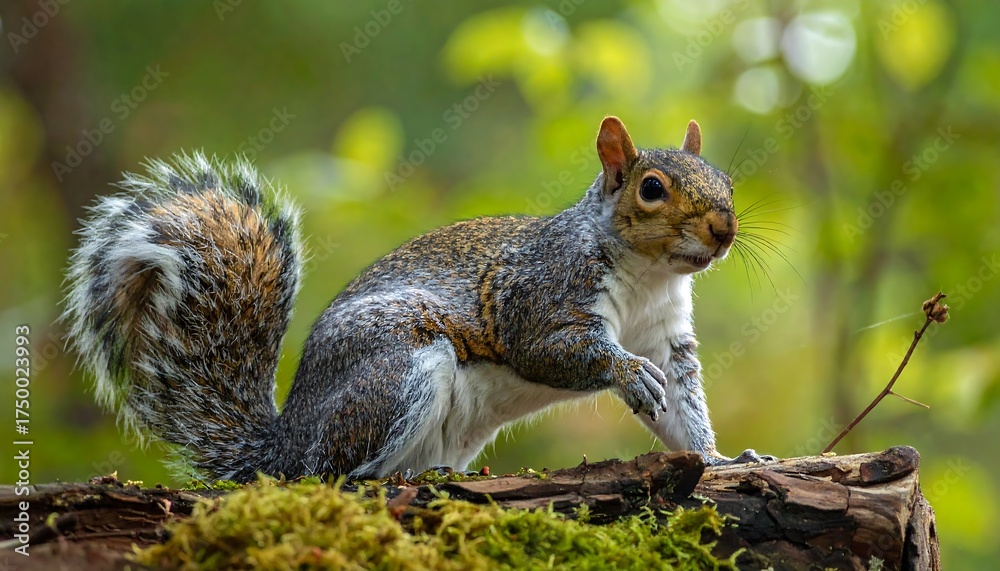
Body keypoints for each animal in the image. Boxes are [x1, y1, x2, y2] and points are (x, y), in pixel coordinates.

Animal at [64, 116, 774, 482]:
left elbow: (683, 408)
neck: (648, 275)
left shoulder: (669, 337)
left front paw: (723, 457)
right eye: (651, 189)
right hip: (397, 367)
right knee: (332, 474)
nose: (724, 229)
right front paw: (627, 374)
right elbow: (553, 348)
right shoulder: (541, 293)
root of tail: (284, 445)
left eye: (726, 181)